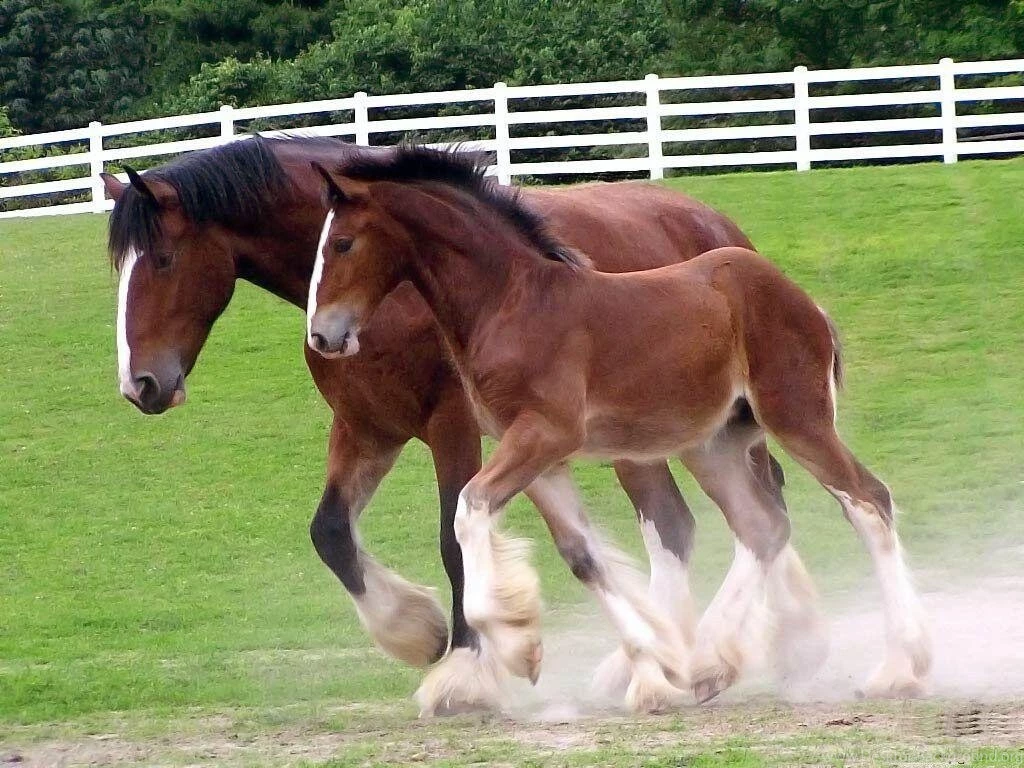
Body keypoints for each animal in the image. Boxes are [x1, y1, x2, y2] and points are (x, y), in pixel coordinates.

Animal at [102, 135, 812, 714]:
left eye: (162, 259)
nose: (141, 385)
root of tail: (719, 228)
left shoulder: (456, 428)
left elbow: (452, 538)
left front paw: (467, 669)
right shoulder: (367, 429)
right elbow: (330, 532)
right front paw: (416, 631)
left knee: (715, 517)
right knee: (707, 518)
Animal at [306, 145, 933, 705]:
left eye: (343, 243)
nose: (322, 335)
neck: (511, 303)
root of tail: (802, 300)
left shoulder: (544, 434)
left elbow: (468, 510)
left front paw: (514, 649)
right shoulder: (540, 458)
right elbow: (583, 557)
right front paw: (650, 673)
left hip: (797, 418)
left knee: (867, 501)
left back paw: (899, 669)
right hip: (715, 445)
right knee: (764, 527)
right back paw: (707, 662)